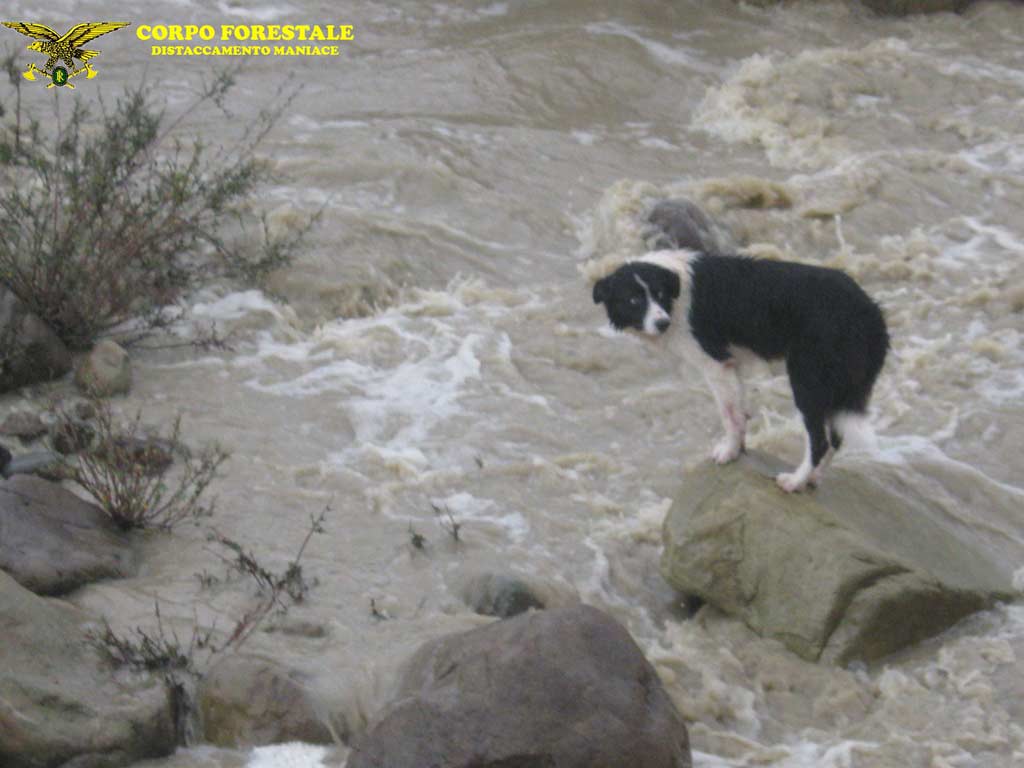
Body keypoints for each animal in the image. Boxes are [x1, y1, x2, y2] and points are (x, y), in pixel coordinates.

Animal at [593, 204, 888, 493]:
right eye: (634, 300)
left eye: (659, 295)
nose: (662, 323)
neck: (675, 288)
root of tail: (871, 312)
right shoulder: (733, 365)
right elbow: (740, 412)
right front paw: (740, 449)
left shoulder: (716, 364)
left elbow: (730, 417)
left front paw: (729, 453)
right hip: (843, 386)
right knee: (837, 437)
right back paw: (814, 479)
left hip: (808, 378)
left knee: (820, 440)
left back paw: (794, 481)